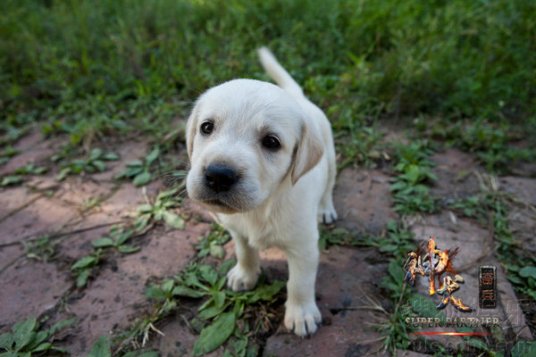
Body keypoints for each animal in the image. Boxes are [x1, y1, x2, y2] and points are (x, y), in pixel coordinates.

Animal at [184, 48, 336, 336]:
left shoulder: (304, 246)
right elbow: (245, 252)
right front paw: (245, 275)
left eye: (271, 142)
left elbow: (299, 283)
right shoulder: (237, 230)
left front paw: (301, 314)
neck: (262, 206)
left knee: (328, 188)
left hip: (331, 157)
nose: (218, 175)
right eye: (207, 127)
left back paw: (326, 210)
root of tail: (300, 98)